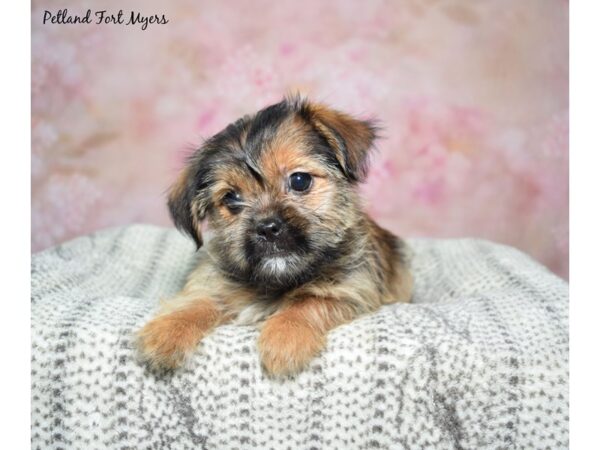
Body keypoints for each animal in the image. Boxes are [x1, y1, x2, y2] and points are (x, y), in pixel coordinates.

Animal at [137, 96, 412, 378]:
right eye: (231, 199)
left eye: (300, 180)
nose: (267, 227)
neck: (278, 280)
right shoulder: (214, 284)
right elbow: (198, 302)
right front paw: (168, 331)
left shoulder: (351, 289)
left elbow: (308, 302)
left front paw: (285, 338)